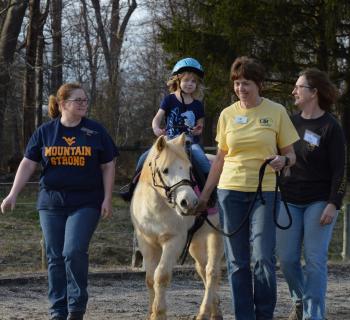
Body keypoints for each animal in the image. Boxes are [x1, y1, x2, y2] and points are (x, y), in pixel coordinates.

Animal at [130, 133, 223, 320]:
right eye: (165, 170)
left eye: (189, 168)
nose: (189, 202)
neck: (157, 207)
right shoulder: (147, 242)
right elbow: (149, 279)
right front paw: (151, 312)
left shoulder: (173, 242)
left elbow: (161, 276)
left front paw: (159, 313)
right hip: (196, 242)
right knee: (202, 269)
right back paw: (215, 311)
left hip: (217, 235)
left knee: (212, 272)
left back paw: (204, 313)